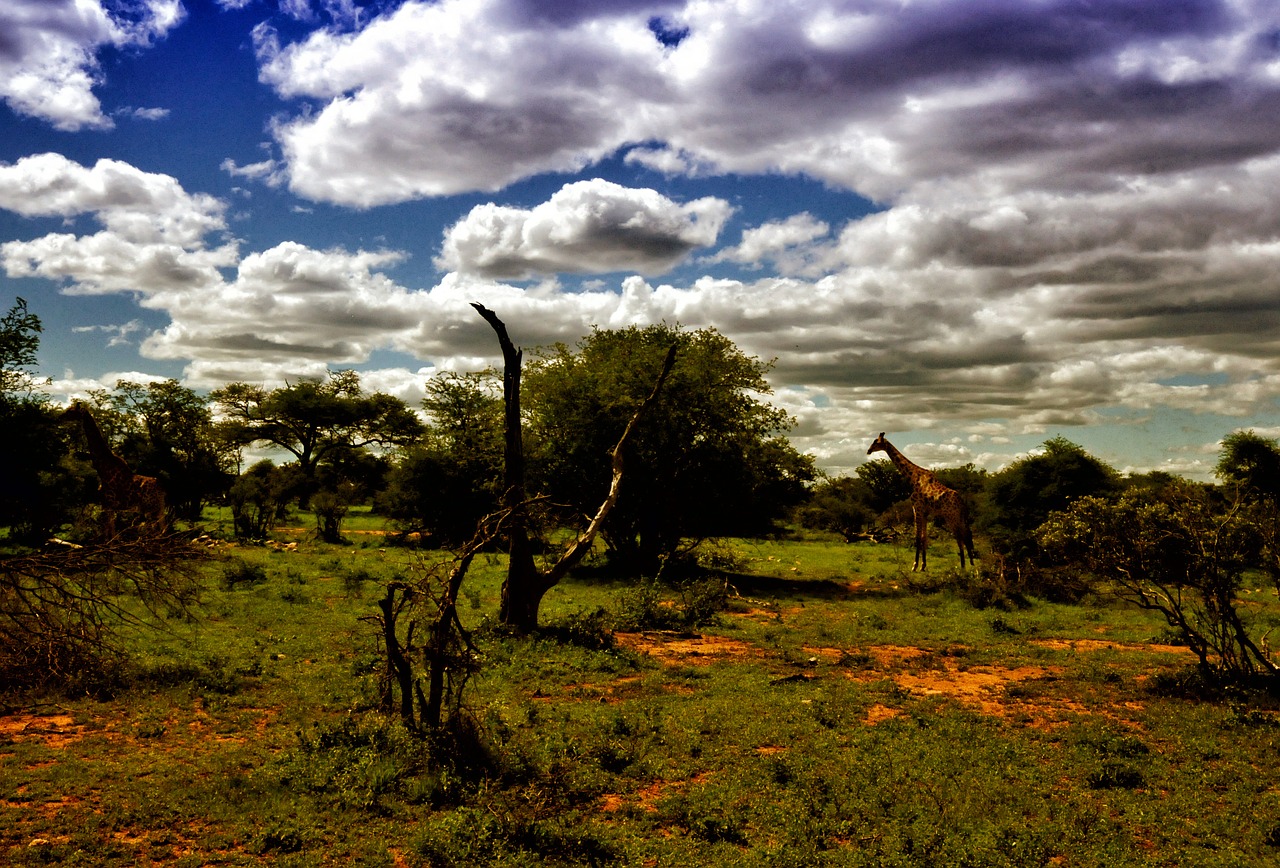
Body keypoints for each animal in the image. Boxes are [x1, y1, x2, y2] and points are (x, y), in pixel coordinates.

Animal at [64, 401, 167, 537]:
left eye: (71, 411)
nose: (60, 416)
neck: (102, 468)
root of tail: (161, 488)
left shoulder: (108, 504)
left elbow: (109, 534)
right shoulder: (106, 505)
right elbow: (109, 532)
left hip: (150, 508)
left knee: (156, 531)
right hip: (158, 508)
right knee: (163, 530)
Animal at [865, 432, 972, 570]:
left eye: (876, 442)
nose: (868, 451)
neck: (912, 477)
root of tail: (962, 503)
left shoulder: (917, 507)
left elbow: (917, 537)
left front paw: (914, 565)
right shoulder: (925, 512)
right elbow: (923, 537)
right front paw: (923, 565)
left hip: (951, 517)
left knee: (960, 538)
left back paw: (963, 568)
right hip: (960, 517)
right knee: (966, 535)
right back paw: (971, 566)